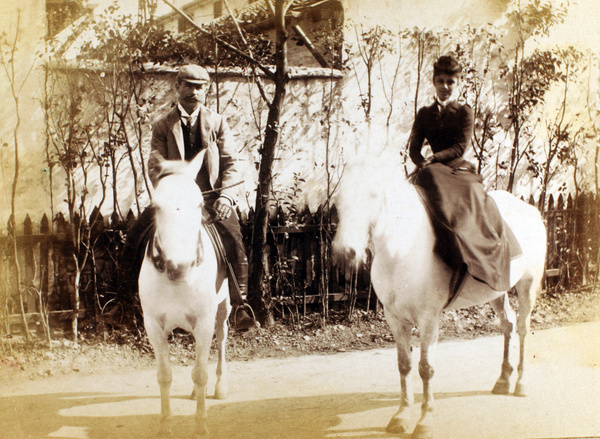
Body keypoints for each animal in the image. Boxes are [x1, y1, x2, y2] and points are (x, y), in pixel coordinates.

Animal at [137, 150, 231, 436]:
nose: (179, 266)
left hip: (222, 311)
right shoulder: (154, 326)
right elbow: (164, 376)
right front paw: (165, 425)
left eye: (199, 205)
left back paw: (220, 387)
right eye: (156, 207)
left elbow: (200, 373)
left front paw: (201, 425)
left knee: (221, 341)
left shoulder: (204, 321)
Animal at [332, 158, 548, 439]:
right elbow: (404, 364)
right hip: (497, 291)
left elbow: (426, 368)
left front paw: (425, 420)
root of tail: (530, 210)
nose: (344, 252)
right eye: (338, 199)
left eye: (372, 195)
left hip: (527, 285)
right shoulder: (395, 319)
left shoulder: (428, 319)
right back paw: (503, 379)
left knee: (522, 328)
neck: (401, 249)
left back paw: (520, 382)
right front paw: (401, 415)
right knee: (508, 325)